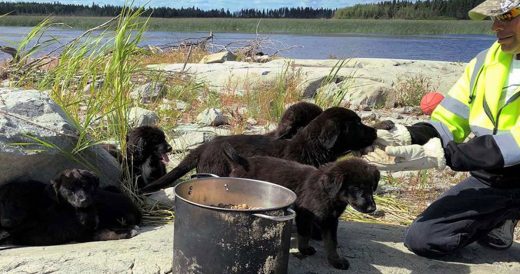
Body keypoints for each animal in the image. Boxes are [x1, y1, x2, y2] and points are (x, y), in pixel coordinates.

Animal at [222, 143, 378, 270]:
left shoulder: (331, 220)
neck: (328, 194)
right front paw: (304, 249)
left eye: (371, 187)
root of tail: (242, 162)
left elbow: (332, 242)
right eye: (356, 188)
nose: (372, 209)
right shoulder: (305, 214)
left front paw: (335, 260)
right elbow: (305, 234)